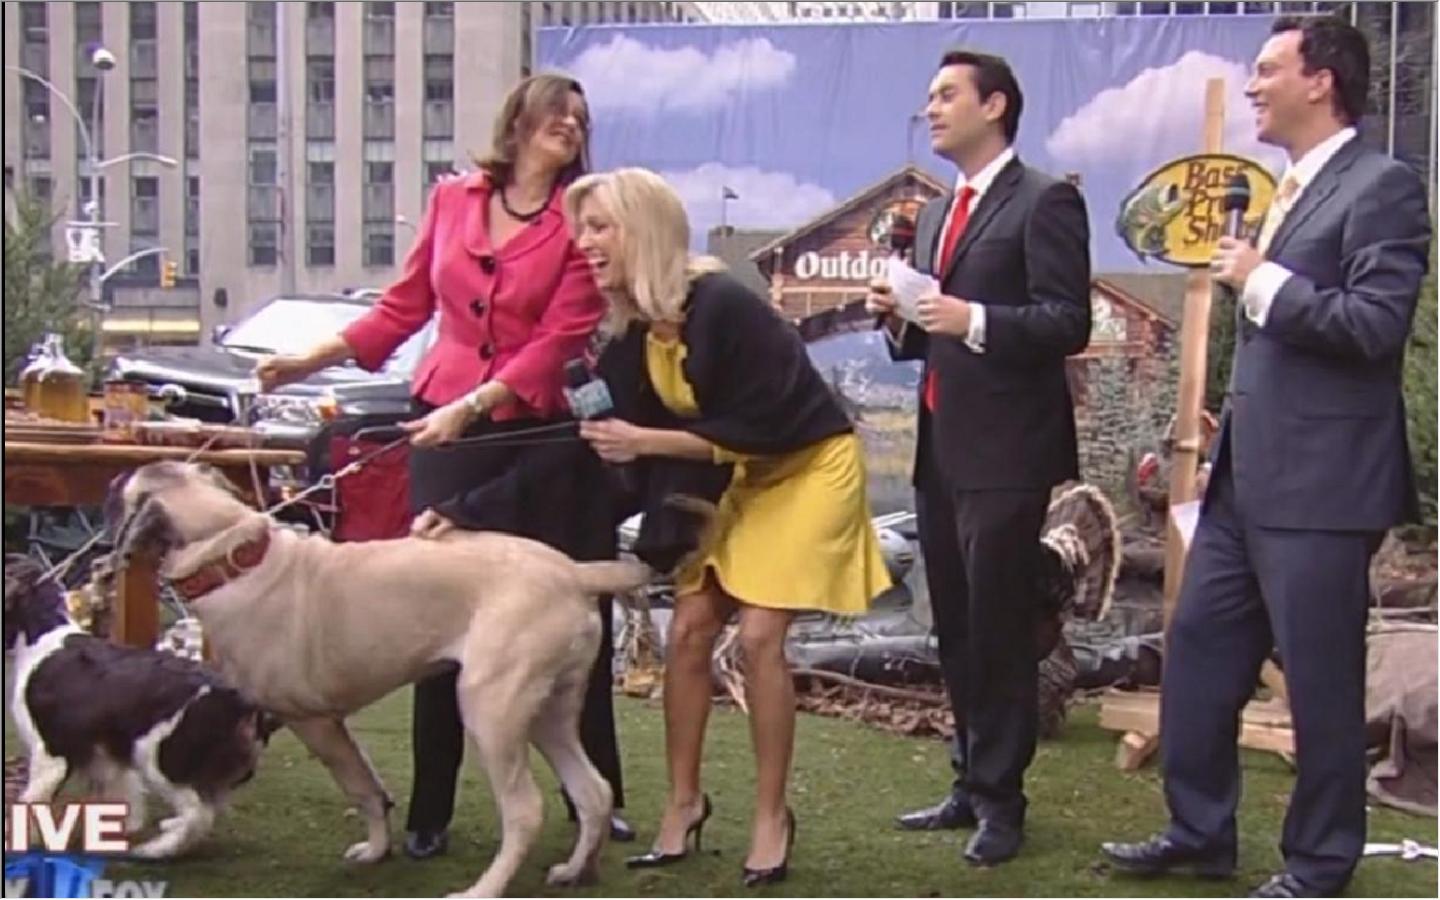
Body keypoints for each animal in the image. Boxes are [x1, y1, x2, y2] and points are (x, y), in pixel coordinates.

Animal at [4, 554, 274, 858]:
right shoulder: (106, 753)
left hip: (158, 757)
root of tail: (237, 698)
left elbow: (32, 800)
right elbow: (124, 792)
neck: (42, 637)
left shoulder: (51, 751)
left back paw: (157, 848)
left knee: (198, 812)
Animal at [107, 460, 651, 898]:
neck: (228, 551)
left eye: (125, 491)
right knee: (593, 791)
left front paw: (373, 850)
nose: (111, 482)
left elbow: (358, 786)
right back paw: (578, 871)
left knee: (525, 810)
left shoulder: (311, 721)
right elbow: (366, 780)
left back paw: (483, 889)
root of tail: (574, 572)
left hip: (491, 709)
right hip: (548, 710)